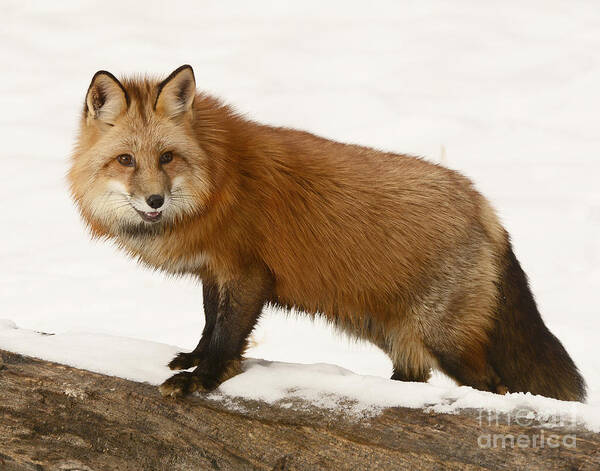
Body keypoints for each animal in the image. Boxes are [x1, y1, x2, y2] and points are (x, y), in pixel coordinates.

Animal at [69, 64, 584, 404]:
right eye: (126, 160)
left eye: (167, 158)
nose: (155, 201)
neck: (219, 177)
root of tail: (483, 204)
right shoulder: (216, 273)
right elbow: (209, 326)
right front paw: (193, 360)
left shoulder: (248, 274)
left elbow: (227, 338)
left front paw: (205, 378)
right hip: (399, 339)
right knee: (412, 381)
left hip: (448, 343)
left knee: (498, 388)